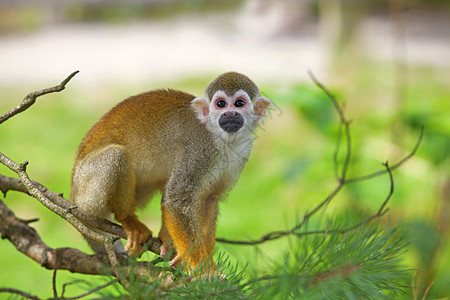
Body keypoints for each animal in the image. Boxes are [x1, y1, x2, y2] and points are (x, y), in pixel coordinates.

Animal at [71, 72, 270, 272]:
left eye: (239, 103)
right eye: (220, 104)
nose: (229, 114)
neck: (223, 139)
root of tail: (73, 194)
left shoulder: (241, 155)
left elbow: (209, 199)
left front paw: (208, 262)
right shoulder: (199, 149)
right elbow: (177, 200)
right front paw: (202, 269)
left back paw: (167, 240)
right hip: (87, 192)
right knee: (116, 155)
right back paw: (127, 218)